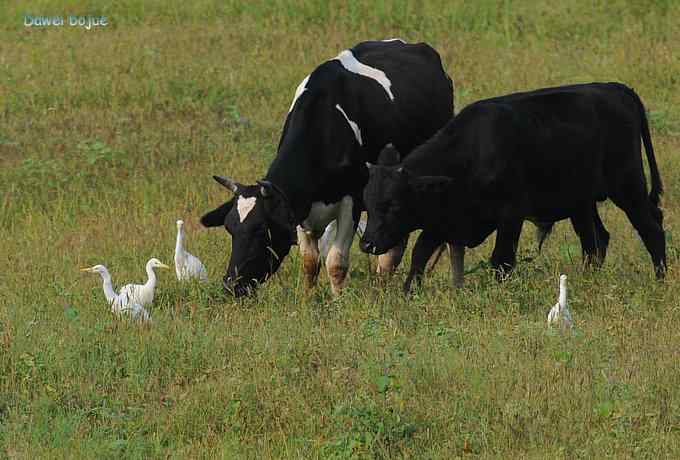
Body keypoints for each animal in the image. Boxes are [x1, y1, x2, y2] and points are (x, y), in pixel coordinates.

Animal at [202, 40, 456, 298]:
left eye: (262, 230)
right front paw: (308, 298)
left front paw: (337, 300)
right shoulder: (300, 208)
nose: (231, 284)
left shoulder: (352, 201)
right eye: (230, 228)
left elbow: (336, 261)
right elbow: (309, 261)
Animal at [358, 82, 668, 292]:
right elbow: (419, 256)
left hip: (627, 185)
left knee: (651, 226)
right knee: (595, 241)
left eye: (393, 205)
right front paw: (409, 292)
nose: (367, 243)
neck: (471, 153)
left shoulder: (511, 215)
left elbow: (501, 260)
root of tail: (615, 88)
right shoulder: (440, 219)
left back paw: (660, 278)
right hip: (582, 201)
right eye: (368, 204)